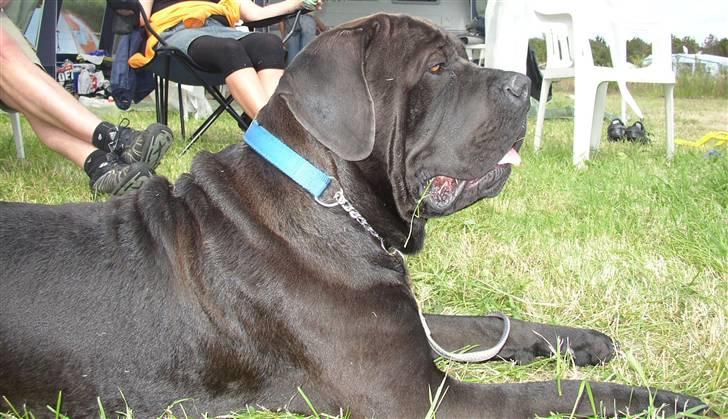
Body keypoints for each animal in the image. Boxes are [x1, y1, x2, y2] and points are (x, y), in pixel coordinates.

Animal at [0, 13, 712, 419]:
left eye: (466, 56)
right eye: (436, 67)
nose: (523, 81)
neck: (328, 199)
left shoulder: (404, 324)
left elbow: (490, 323)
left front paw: (585, 341)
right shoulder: (423, 398)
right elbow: (556, 395)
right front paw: (666, 399)